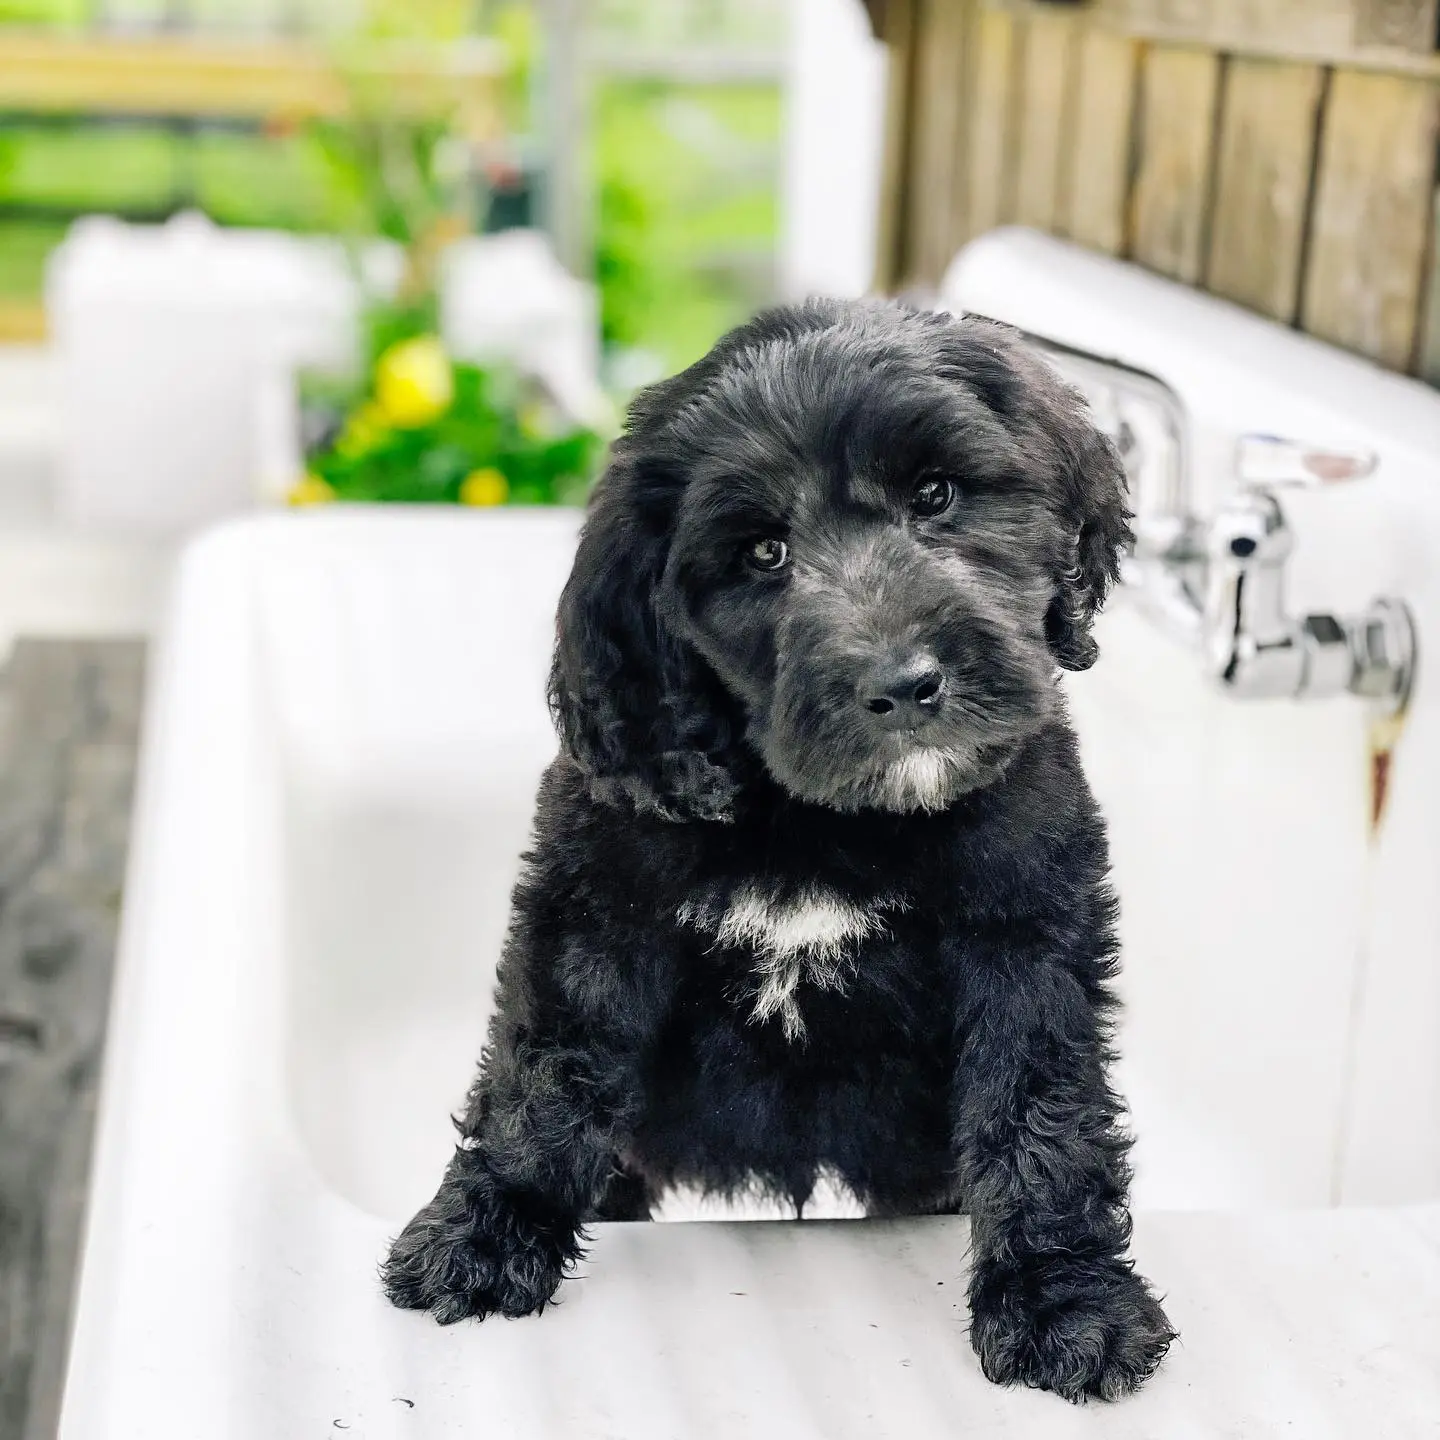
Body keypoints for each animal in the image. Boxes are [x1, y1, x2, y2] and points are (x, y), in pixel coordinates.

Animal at [383, 298, 1169, 1399]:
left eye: (936, 495)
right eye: (762, 554)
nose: (904, 684)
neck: (824, 820)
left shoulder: (1026, 921)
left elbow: (1041, 1101)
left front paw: (1065, 1298)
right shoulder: (598, 901)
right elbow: (547, 1070)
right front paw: (489, 1230)